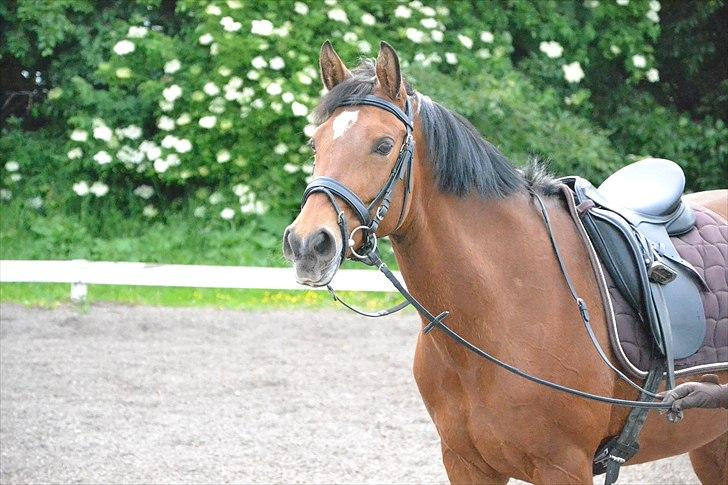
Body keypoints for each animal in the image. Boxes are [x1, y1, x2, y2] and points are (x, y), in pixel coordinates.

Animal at [283, 41, 728, 484]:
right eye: (315, 145)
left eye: (383, 145)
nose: (308, 244)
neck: (503, 307)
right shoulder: (465, 463)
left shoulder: (564, 467)